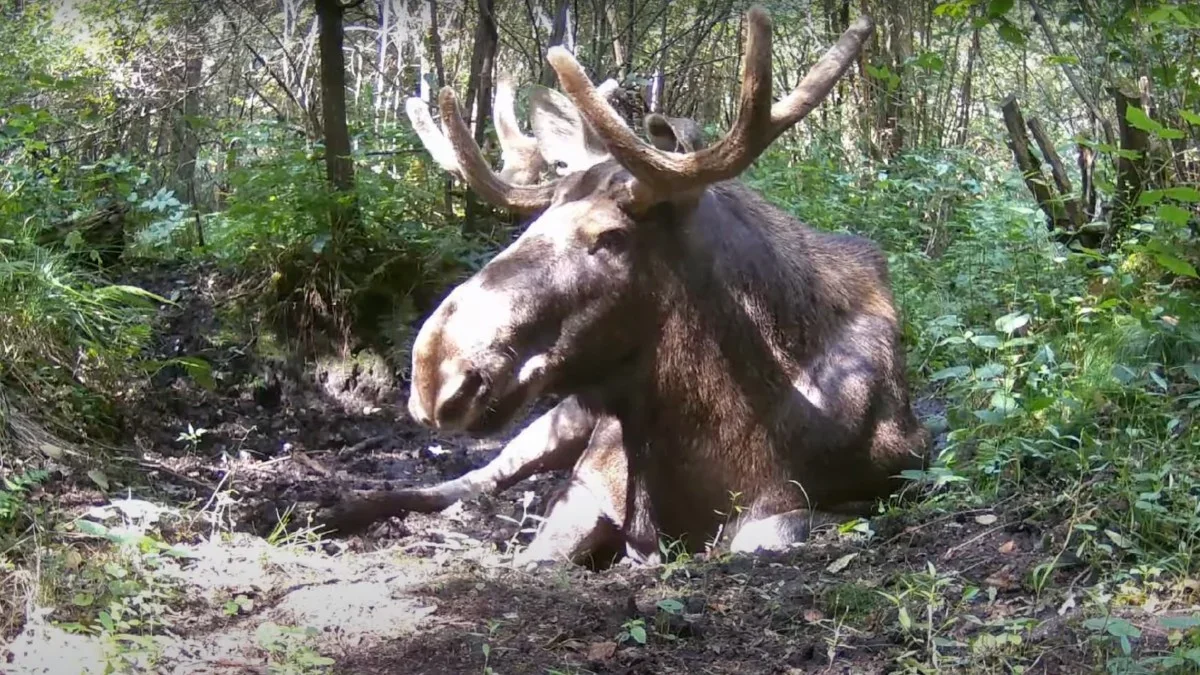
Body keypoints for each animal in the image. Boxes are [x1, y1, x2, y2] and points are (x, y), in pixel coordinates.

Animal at [331, 7, 936, 564]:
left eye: (611, 236)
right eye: (533, 223)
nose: (436, 369)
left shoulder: (871, 485)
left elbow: (766, 533)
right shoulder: (585, 486)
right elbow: (538, 555)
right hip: (559, 420)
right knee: (471, 480)